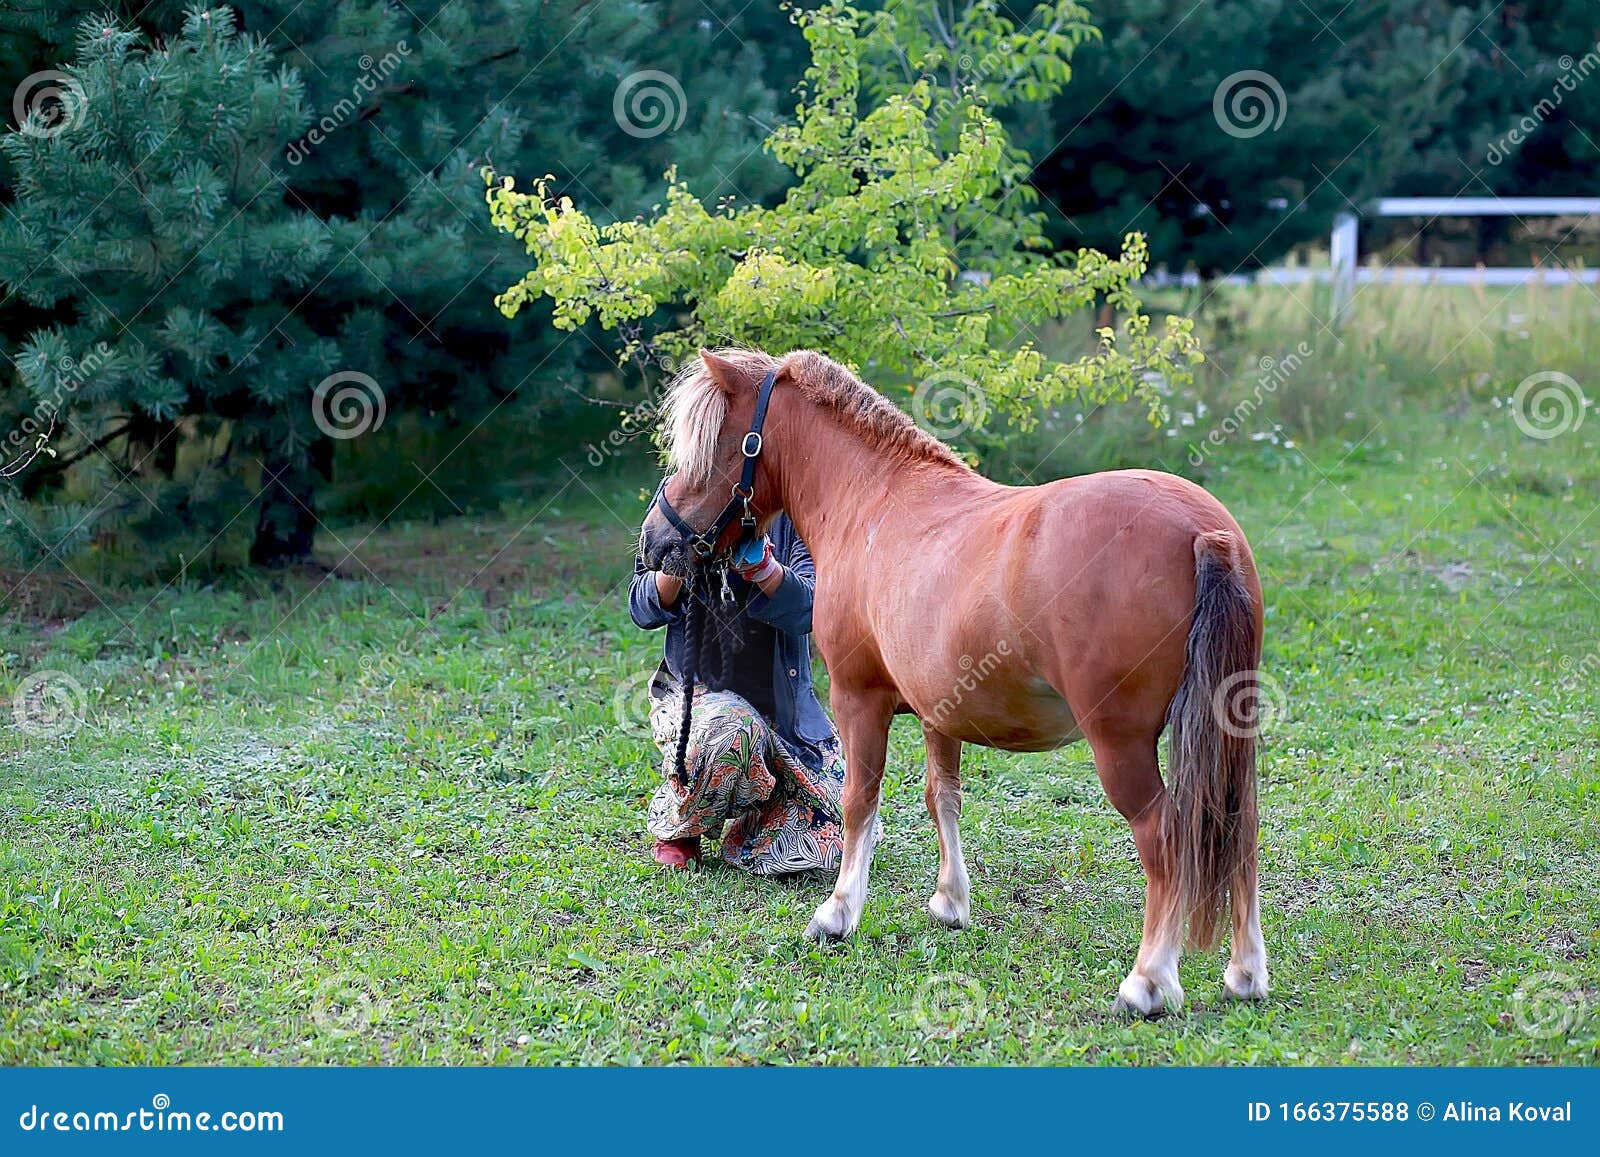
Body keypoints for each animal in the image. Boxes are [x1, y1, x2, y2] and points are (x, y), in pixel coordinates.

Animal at [643, 348, 1267, 1017]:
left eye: (713, 447)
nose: (655, 541)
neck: (873, 500)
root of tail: (1204, 532)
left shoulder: (858, 699)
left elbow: (860, 800)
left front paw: (837, 914)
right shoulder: (939, 711)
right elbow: (942, 797)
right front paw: (949, 902)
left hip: (1119, 744)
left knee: (1166, 838)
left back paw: (1149, 980)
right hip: (1227, 733)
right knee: (1239, 827)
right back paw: (1245, 973)